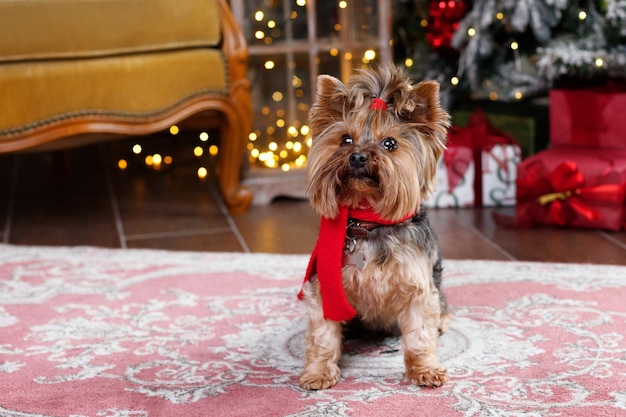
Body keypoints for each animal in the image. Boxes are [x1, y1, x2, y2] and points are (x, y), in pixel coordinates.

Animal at [298, 65, 448, 390]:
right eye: (345, 140)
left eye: (390, 144)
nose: (358, 156)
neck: (368, 221)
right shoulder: (326, 287)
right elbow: (322, 335)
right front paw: (319, 372)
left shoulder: (418, 288)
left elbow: (419, 335)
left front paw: (424, 370)